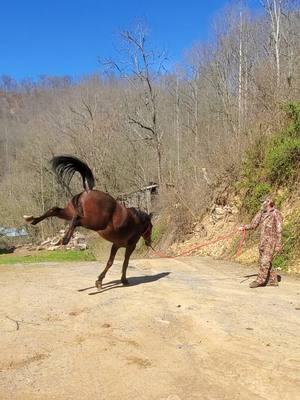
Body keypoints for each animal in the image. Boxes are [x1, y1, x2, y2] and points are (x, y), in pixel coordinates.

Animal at [24, 155, 152, 290]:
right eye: (150, 228)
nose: (149, 242)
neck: (137, 221)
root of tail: (88, 191)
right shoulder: (130, 246)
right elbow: (125, 262)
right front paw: (123, 280)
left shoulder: (116, 245)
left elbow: (110, 262)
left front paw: (100, 281)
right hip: (94, 223)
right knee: (76, 220)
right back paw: (64, 239)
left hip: (70, 213)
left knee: (55, 210)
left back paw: (32, 220)